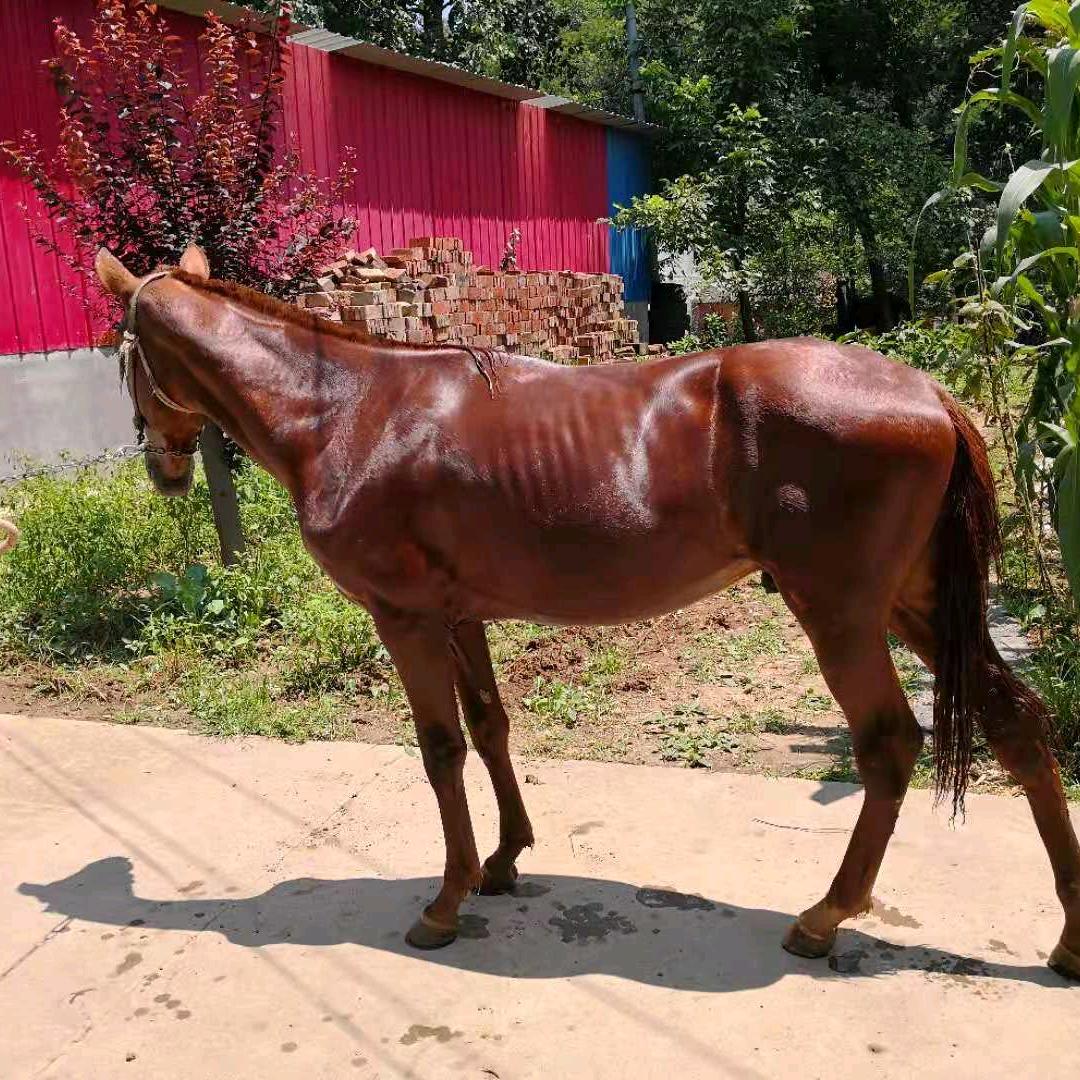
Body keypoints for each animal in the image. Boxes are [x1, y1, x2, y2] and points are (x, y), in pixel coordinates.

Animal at [93, 243, 1080, 979]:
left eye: (122, 355)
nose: (162, 467)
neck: (346, 410)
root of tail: (930, 393)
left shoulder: (403, 616)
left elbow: (440, 749)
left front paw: (445, 901)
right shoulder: (458, 613)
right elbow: (490, 727)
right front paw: (503, 862)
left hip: (840, 613)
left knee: (889, 746)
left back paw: (824, 916)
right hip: (916, 604)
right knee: (1018, 723)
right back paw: (1066, 939)